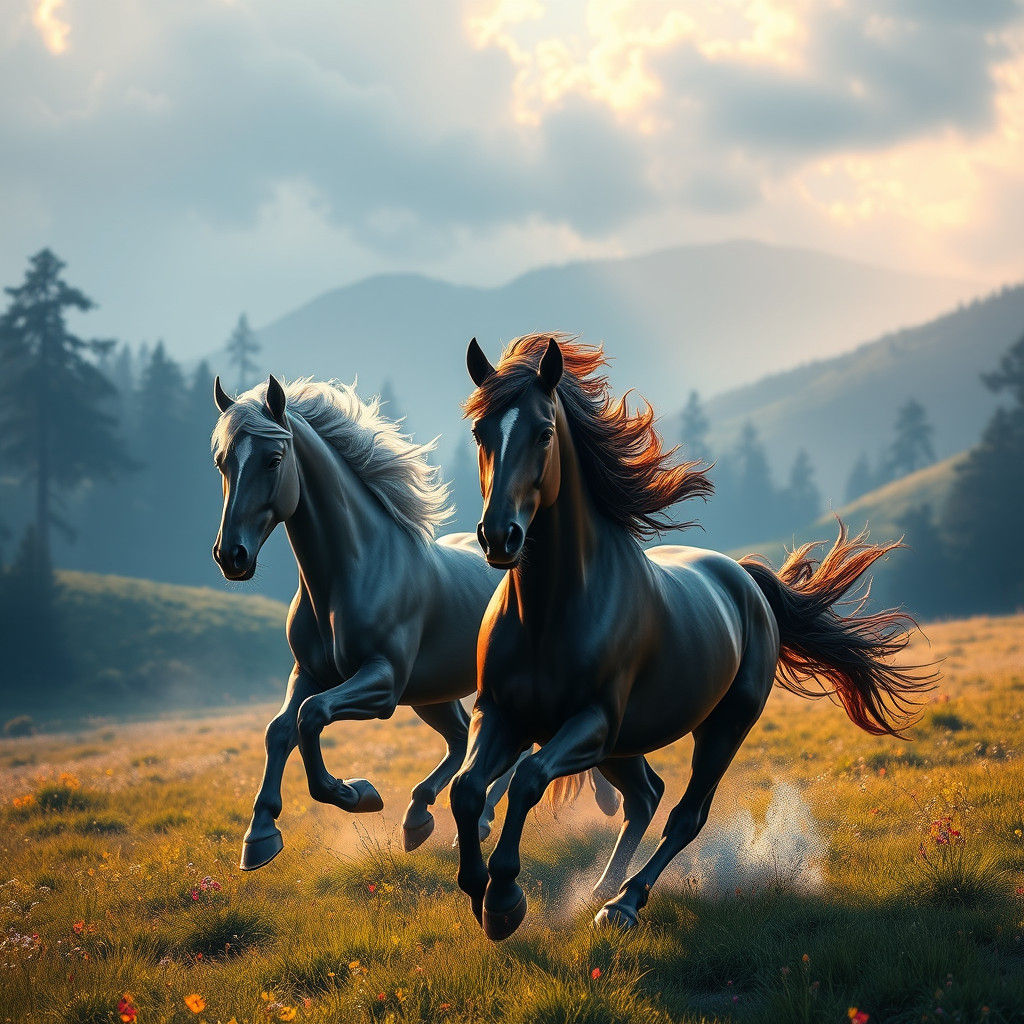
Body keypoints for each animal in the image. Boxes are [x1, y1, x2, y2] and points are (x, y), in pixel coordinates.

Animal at [210, 373, 621, 870]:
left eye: (273, 460)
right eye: (222, 461)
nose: (231, 556)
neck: (353, 572)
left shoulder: (383, 682)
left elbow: (312, 716)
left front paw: (358, 794)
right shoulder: (307, 672)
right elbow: (280, 730)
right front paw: (260, 837)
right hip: (434, 693)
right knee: (463, 740)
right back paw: (422, 817)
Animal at [450, 334, 934, 940]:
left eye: (542, 432)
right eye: (479, 432)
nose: (499, 536)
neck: (552, 613)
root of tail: (745, 580)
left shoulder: (592, 723)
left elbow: (527, 781)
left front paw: (505, 899)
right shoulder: (503, 713)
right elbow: (467, 790)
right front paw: (478, 892)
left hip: (721, 728)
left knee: (684, 814)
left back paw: (624, 903)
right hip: (629, 741)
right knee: (644, 795)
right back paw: (602, 889)